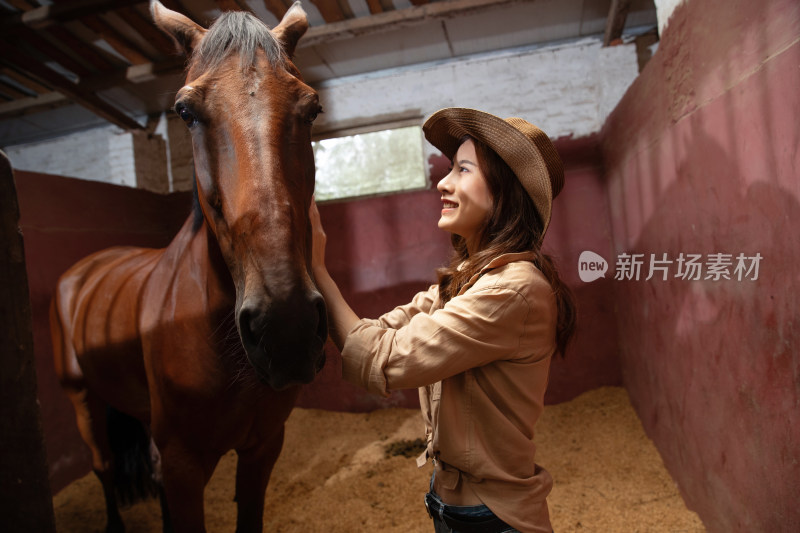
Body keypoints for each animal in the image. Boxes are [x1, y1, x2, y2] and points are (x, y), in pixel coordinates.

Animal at [50, 2, 326, 528]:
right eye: (186, 111)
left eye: (312, 108)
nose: (287, 325)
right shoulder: (183, 465)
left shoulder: (263, 448)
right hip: (80, 399)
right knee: (103, 466)